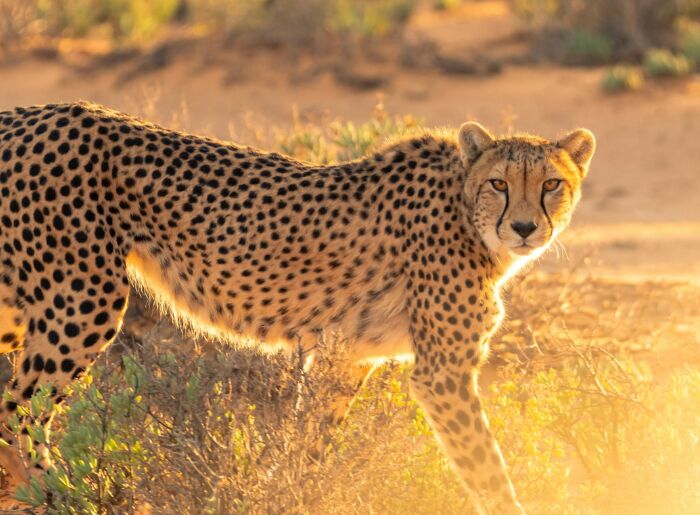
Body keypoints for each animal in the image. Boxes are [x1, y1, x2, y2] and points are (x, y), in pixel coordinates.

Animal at [0, 101, 594, 513]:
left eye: (552, 184)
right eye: (498, 183)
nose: (524, 227)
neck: (466, 212)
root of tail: (29, 113)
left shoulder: (345, 356)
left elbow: (309, 444)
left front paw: (288, 493)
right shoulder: (442, 372)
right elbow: (487, 467)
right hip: (82, 300)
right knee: (18, 409)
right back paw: (60, 494)